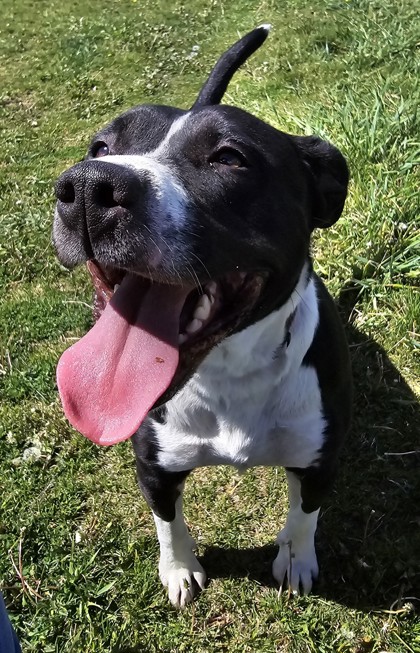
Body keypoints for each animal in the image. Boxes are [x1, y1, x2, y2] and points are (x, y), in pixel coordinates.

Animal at [53, 25, 354, 608]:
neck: (229, 372)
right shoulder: (154, 466)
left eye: (228, 158)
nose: (87, 187)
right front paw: (179, 568)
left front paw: (296, 558)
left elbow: (305, 516)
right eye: (101, 147)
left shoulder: (321, 460)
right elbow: (167, 522)